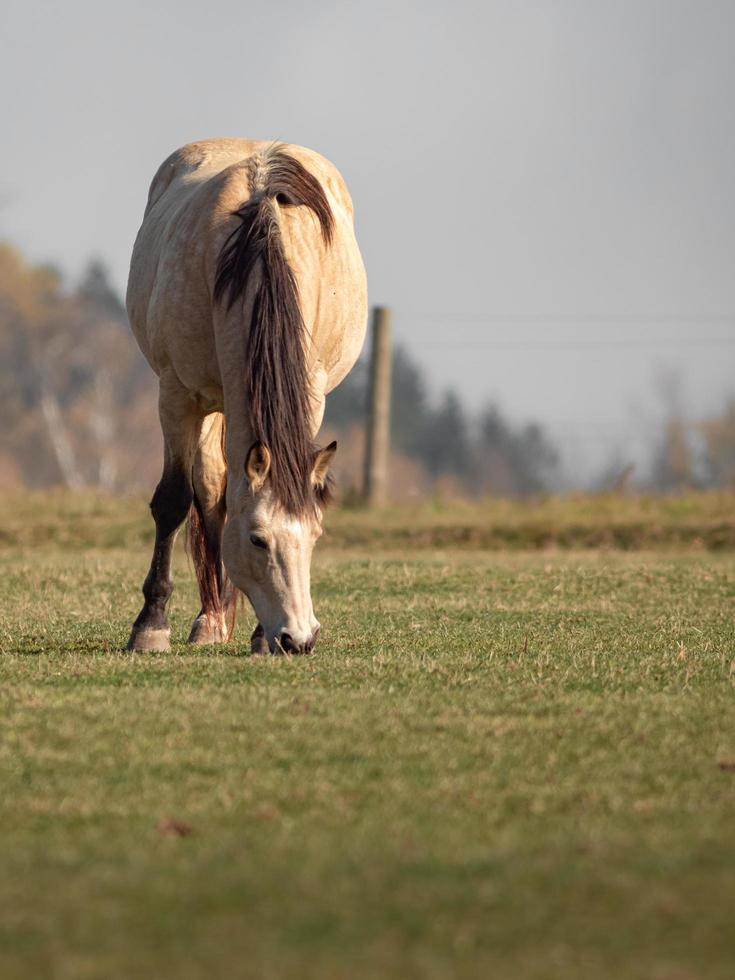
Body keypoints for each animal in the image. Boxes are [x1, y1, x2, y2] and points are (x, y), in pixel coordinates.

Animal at [128, 138, 368, 656]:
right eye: (258, 540)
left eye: (316, 535)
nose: (298, 638)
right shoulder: (177, 395)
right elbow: (174, 500)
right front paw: (151, 626)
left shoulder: (309, 395)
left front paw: (259, 636)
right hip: (209, 402)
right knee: (210, 494)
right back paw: (210, 618)